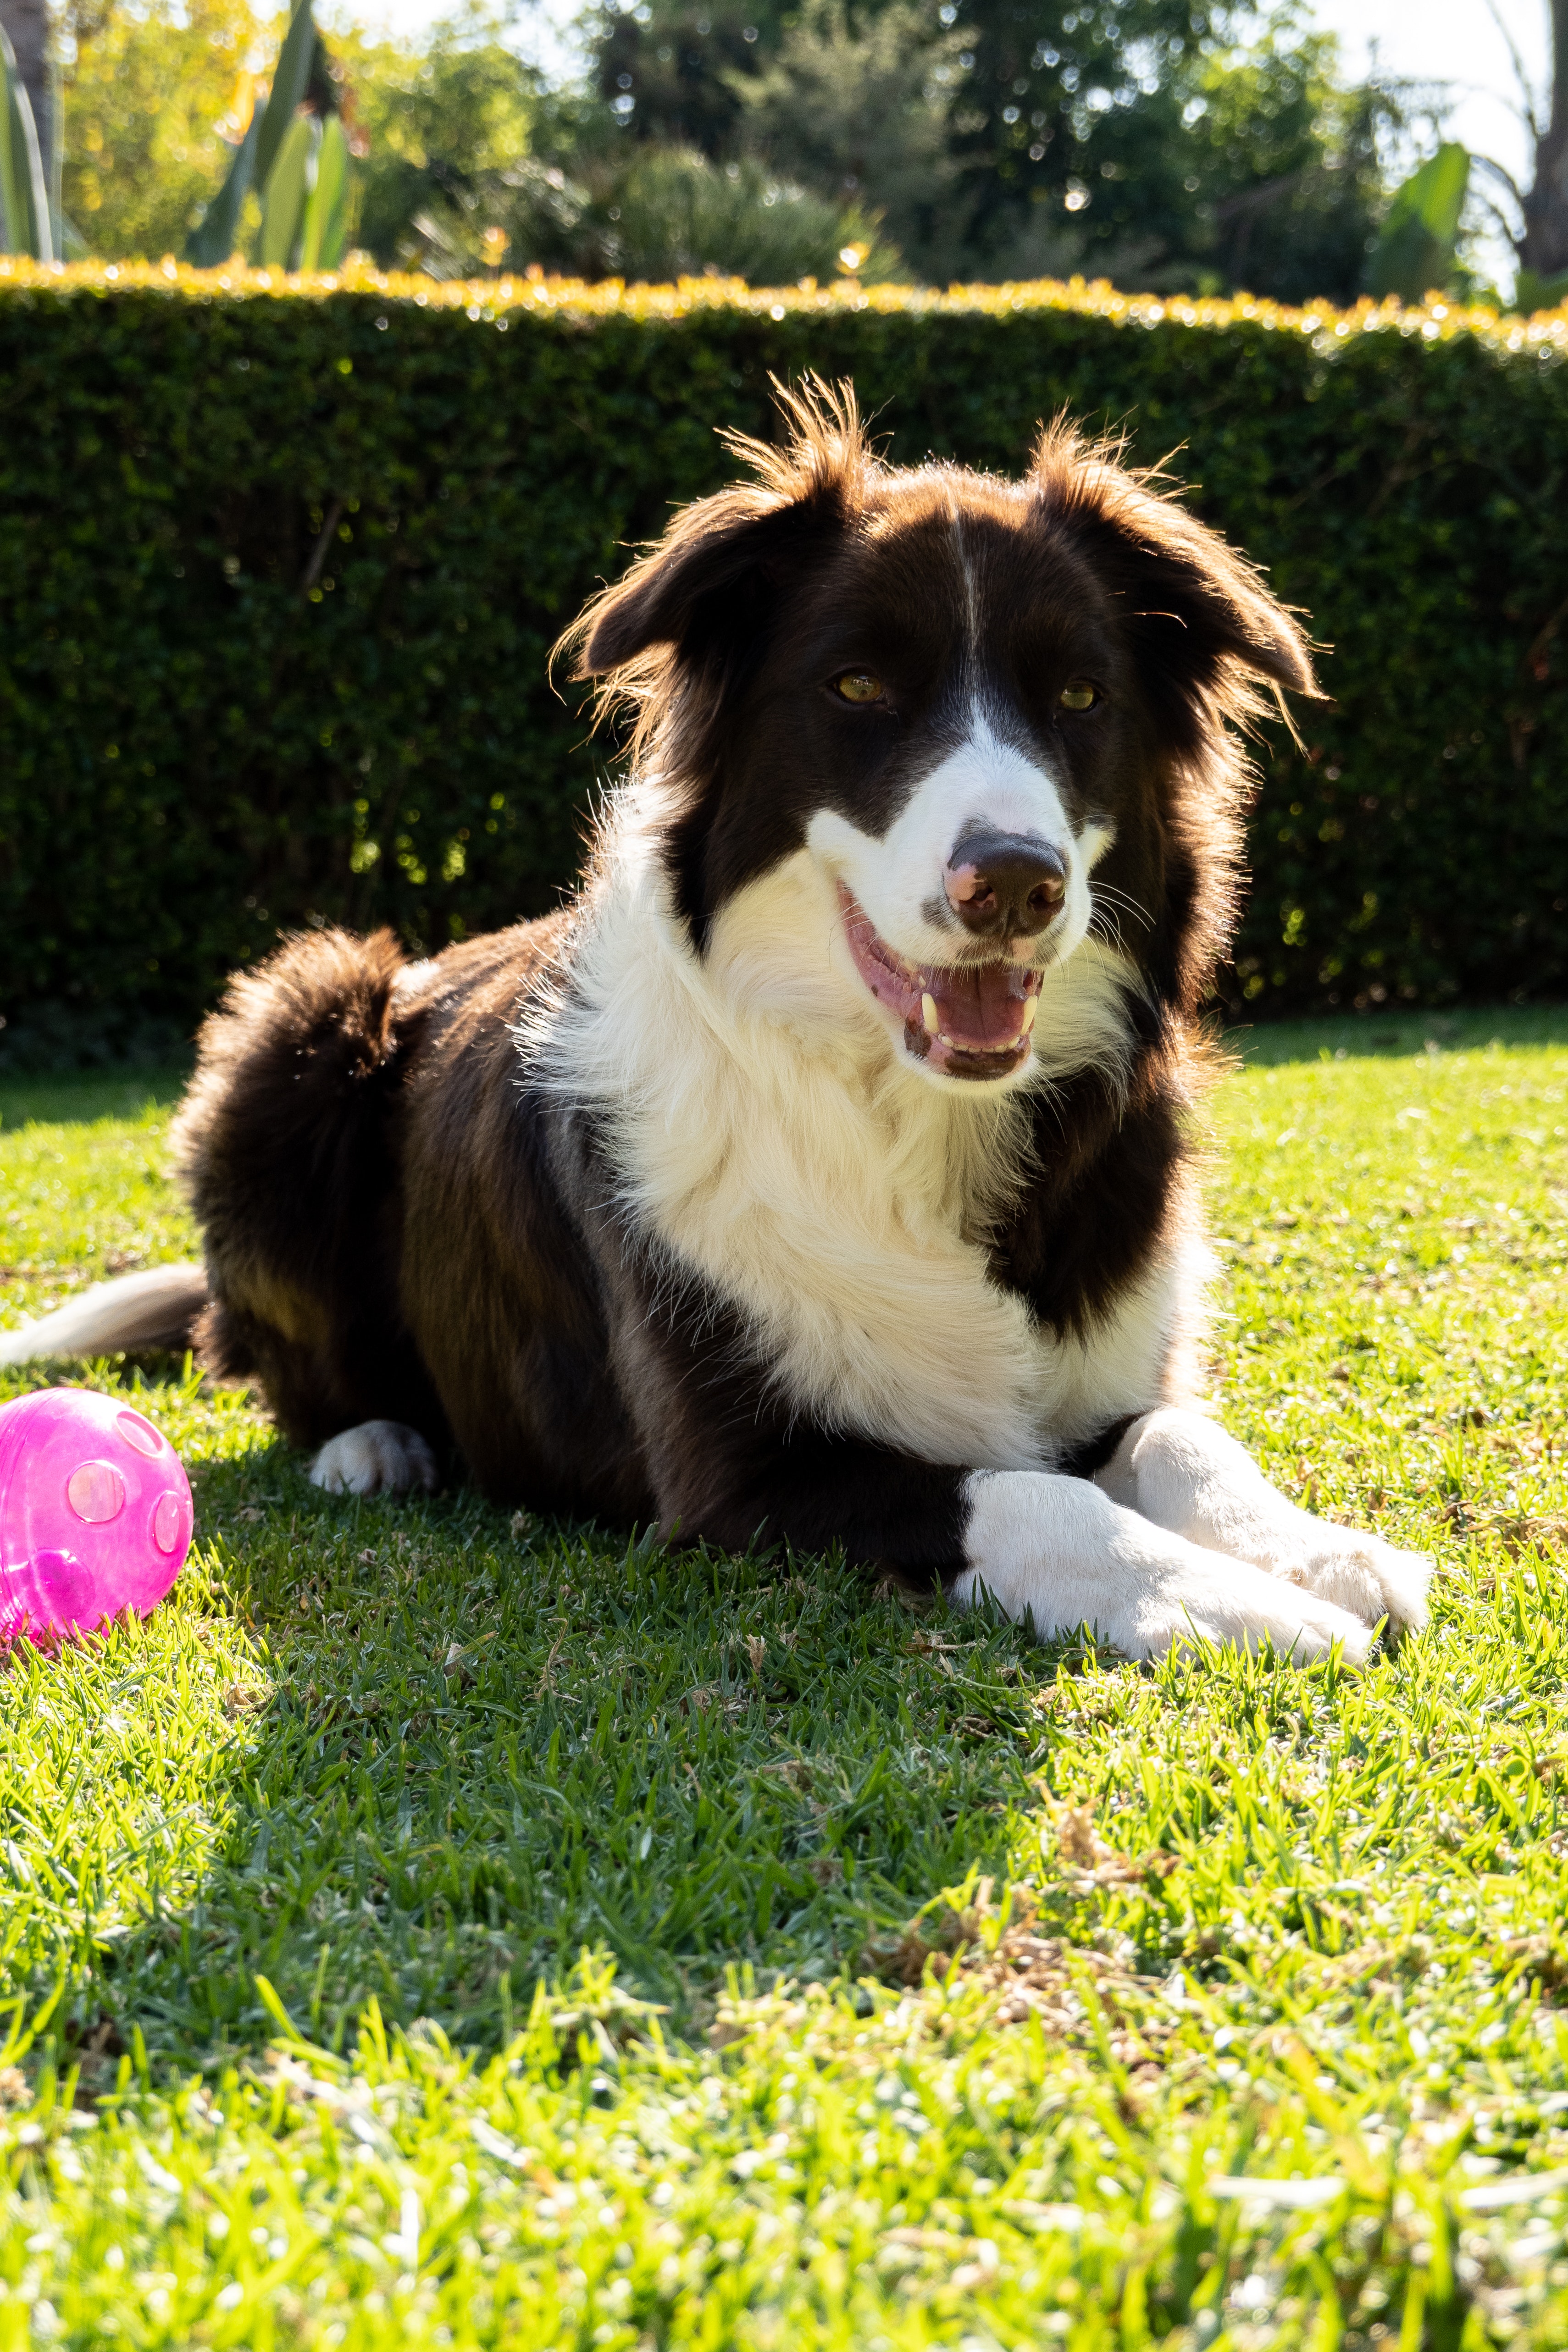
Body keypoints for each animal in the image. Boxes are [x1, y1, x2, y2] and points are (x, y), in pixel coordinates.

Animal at [6, 386, 1429, 1665]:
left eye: (1080, 699)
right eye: (856, 684)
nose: (1016, 881)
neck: (907, 1113)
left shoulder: (1099, 1376)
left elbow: (1173, 1434)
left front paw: (1319, 1549)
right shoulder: (737, 1479)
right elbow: (1028, 1493)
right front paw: (1244, 1603)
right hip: (298, 1022)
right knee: (279, 1364)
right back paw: (375, 1441)